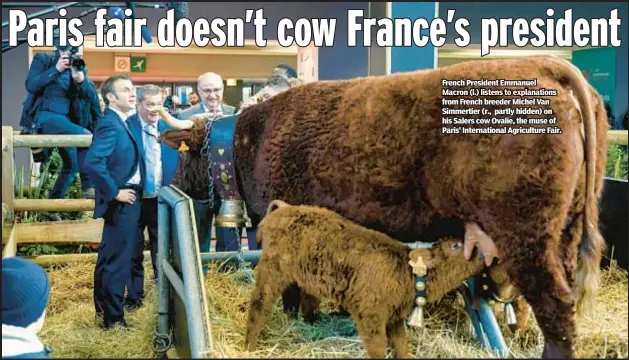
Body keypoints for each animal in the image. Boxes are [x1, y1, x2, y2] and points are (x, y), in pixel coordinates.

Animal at [161, 56, 608, 358]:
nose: (174, 184)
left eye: (184, 155)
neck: (251, 141)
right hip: (563, 235)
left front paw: (296, 317)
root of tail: (543, 64)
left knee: (558, 311)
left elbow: (294, 289)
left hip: (529, 240)